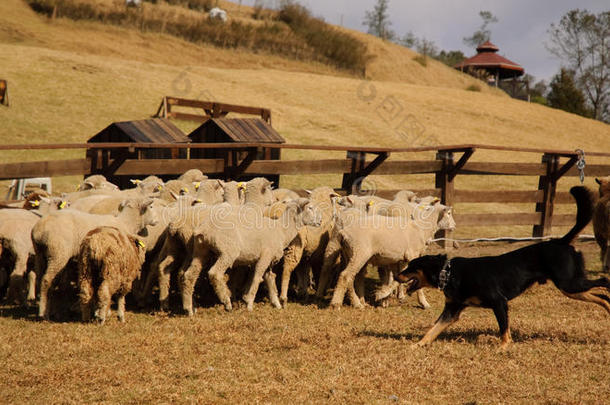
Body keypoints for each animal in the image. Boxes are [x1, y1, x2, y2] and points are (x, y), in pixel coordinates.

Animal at [394, 186, 608, 348]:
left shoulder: (499, 303)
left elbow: (504, 329)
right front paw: (417, 345)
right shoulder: (452, 310)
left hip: (569, 283)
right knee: (600, 294)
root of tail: (561, 242)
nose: (397, 277)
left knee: (604, 281)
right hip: (571, 287)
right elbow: (433, 329)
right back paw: (608, 308)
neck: (449, 273)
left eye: (411, 267)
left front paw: (503, 347)